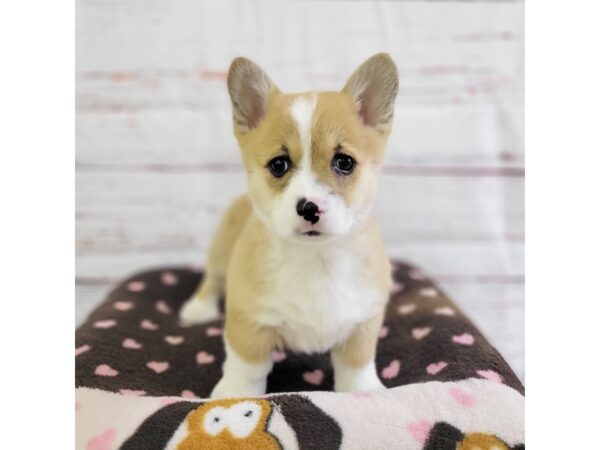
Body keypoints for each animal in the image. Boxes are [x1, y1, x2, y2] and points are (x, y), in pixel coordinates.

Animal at [180, 53, 400, 398]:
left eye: (344, 162)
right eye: (278, 165)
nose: (309, 208)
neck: (315, 259)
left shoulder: (363, 320)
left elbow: (357, 362)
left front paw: (364, 392)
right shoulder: (248, 320)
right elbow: (247, 366)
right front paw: (233, 396)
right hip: (219, 253)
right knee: (211, 280)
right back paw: (197, 309)